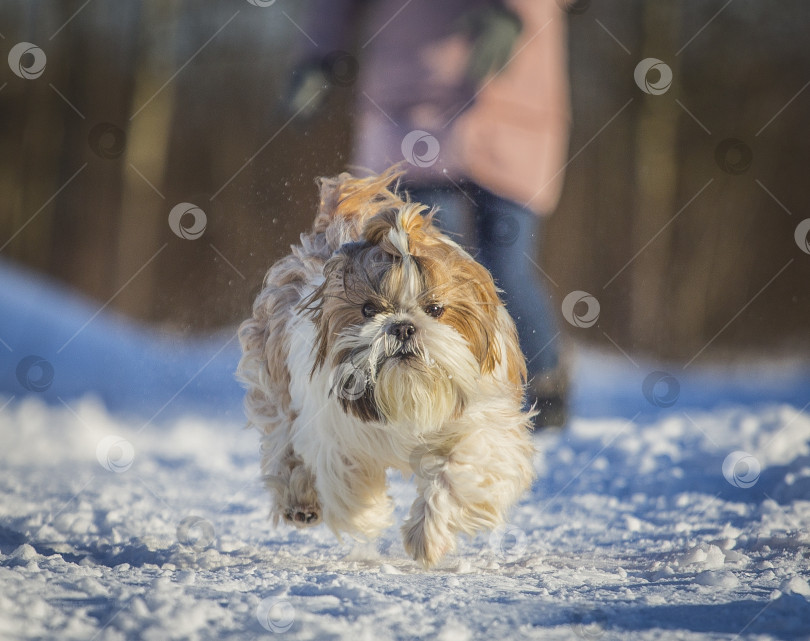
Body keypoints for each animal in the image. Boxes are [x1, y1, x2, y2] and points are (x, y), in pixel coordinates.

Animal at [237, 165, 532, 564]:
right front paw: (370, 517)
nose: (403, 326)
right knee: (284, 442)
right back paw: (300, 500)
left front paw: (427, 535)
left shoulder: (482, 427)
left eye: (435, 309)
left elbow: (457, 471)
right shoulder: (333, 434)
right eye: (368, 309)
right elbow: (346, 477)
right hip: (277, 383)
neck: (405, 394)